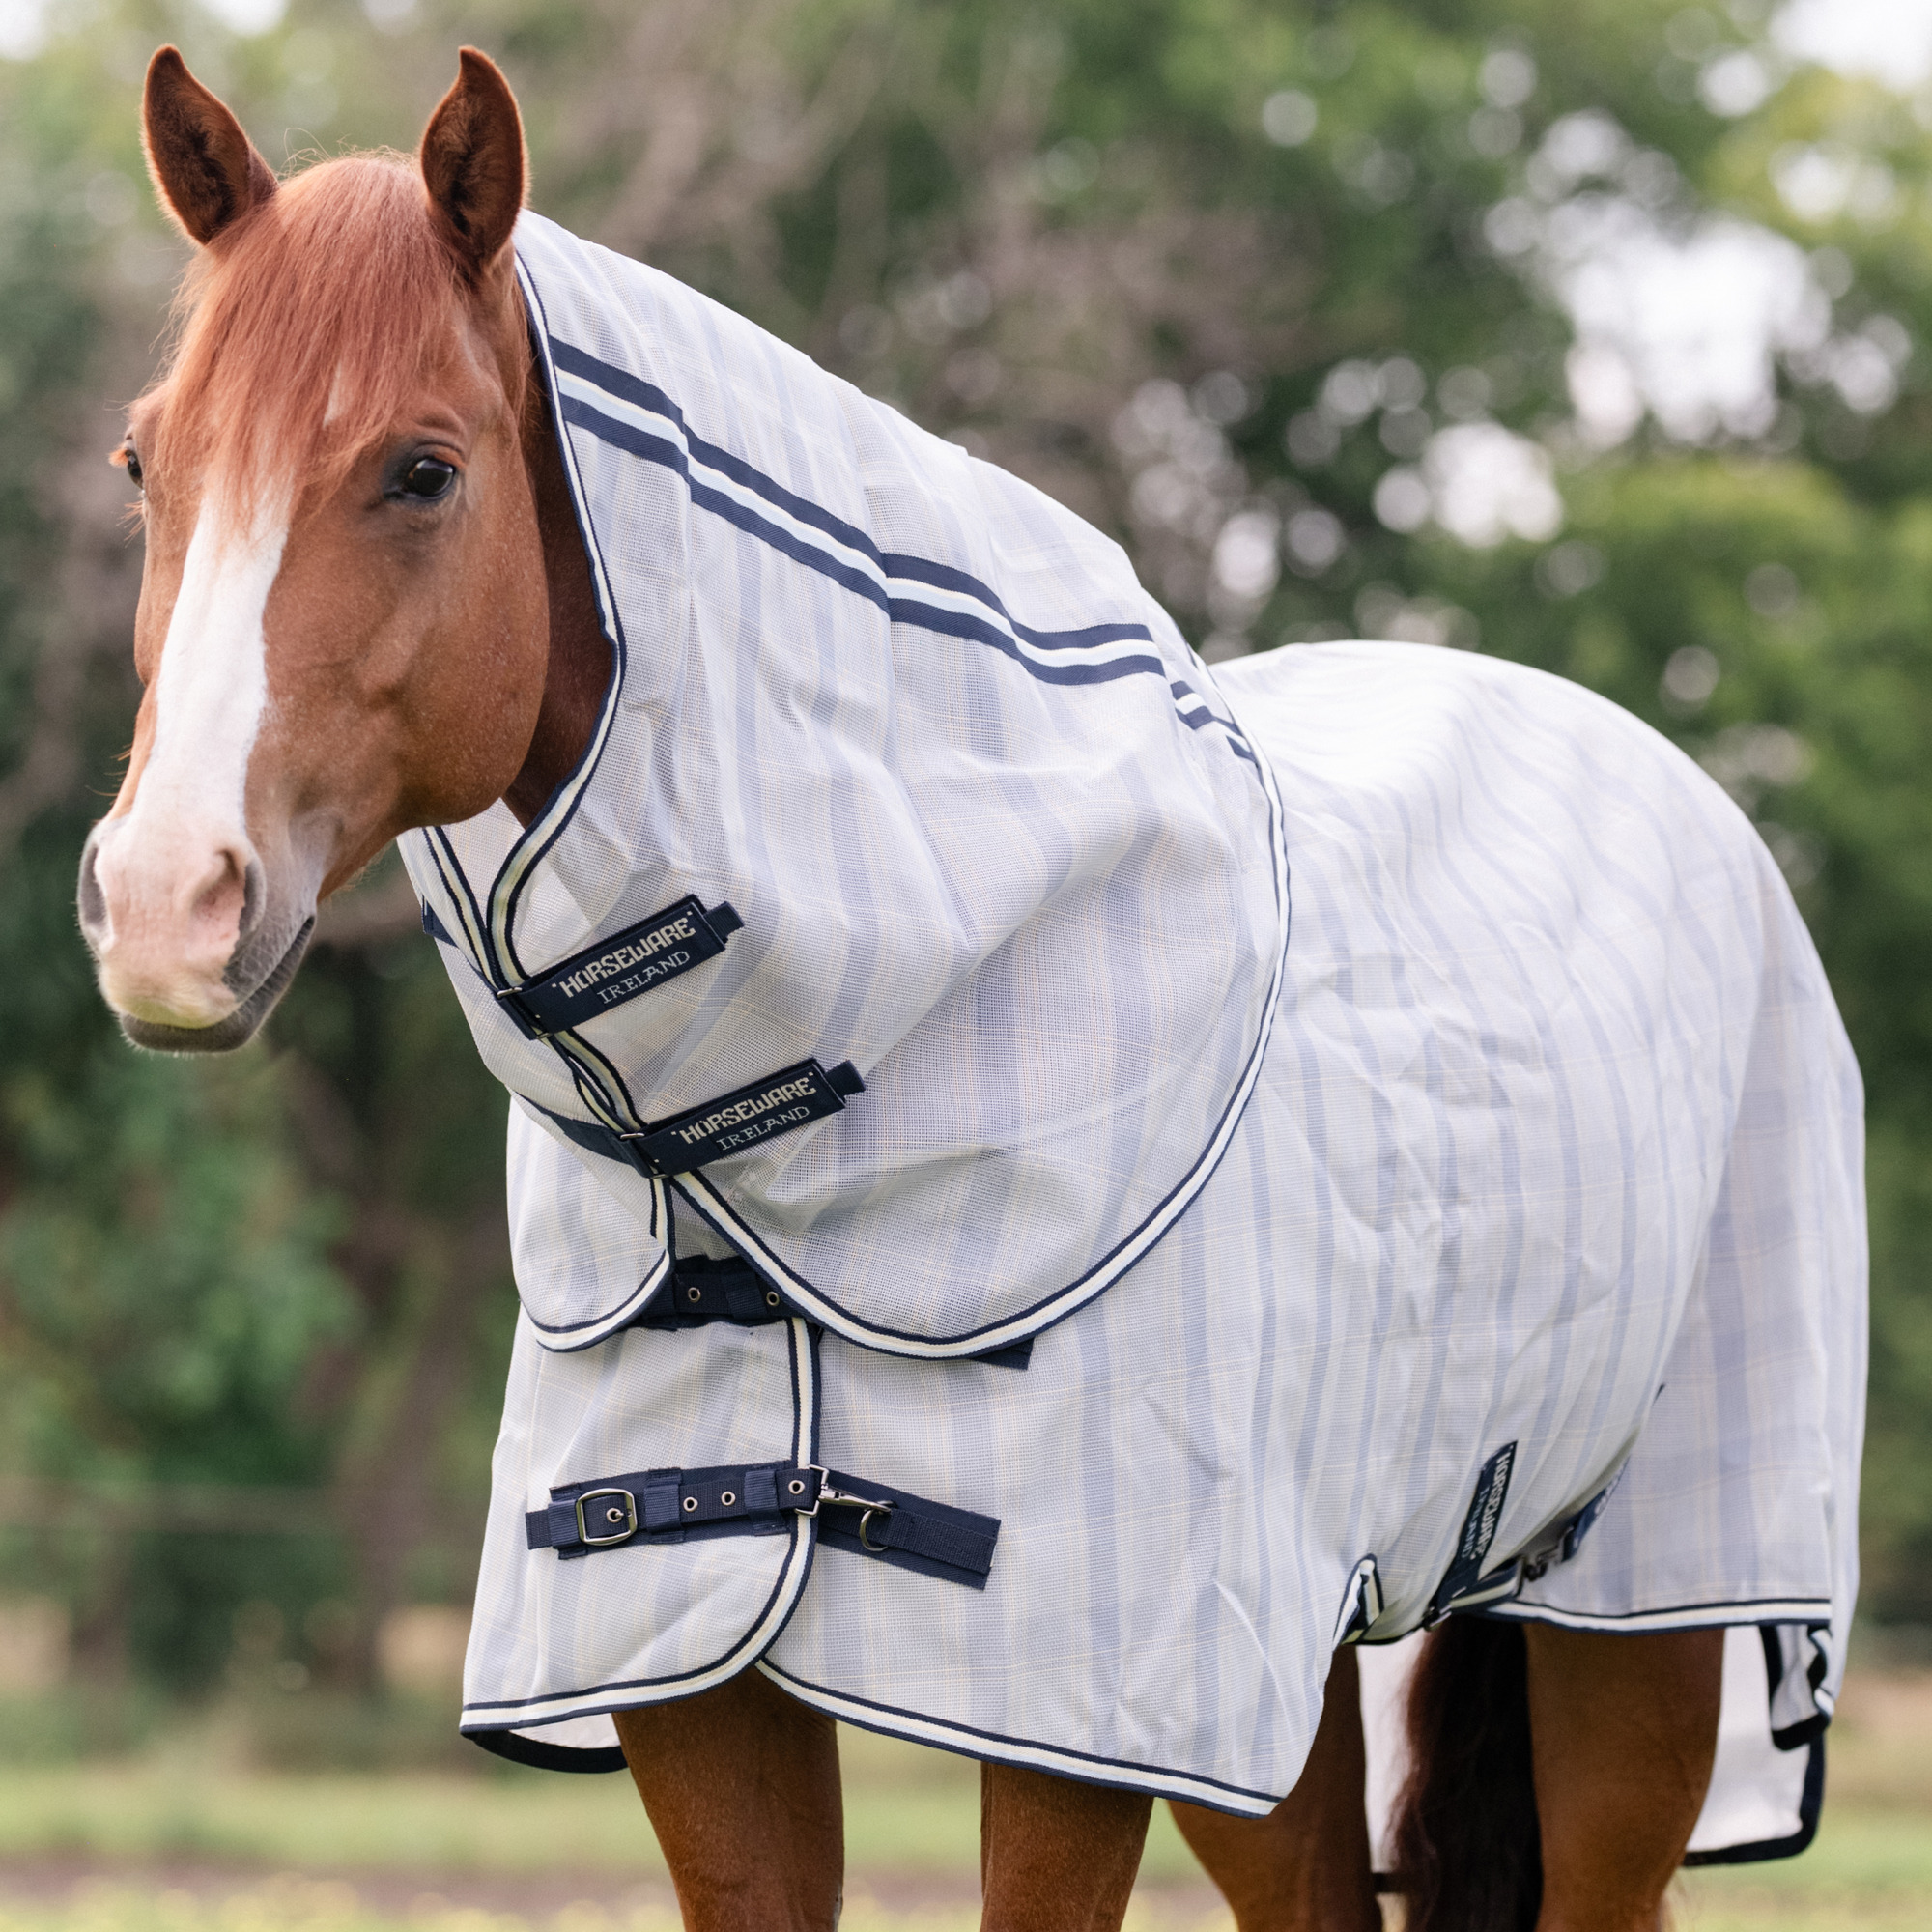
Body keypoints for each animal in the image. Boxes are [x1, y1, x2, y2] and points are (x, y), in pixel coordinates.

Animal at [79, 46, 1862, 1932]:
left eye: (422, 470)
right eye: (143, 462)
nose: (166, 904)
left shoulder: (1082, 1716)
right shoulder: (691, 1676)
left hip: (1630, 1632)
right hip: (1291, 1680)